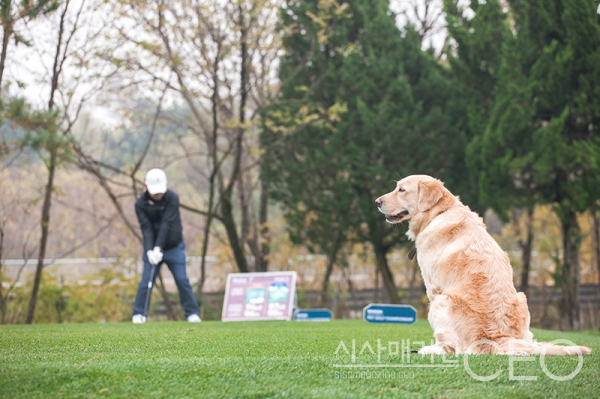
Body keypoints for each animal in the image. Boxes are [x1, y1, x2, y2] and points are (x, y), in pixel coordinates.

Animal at [376, 175, 592, 356]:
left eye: (401, 190)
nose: (377, 202)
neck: (440, 213)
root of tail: (496, 338)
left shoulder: (432, 287)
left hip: (440, 302)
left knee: (455, 349)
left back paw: (428, 350)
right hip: (522, 299)